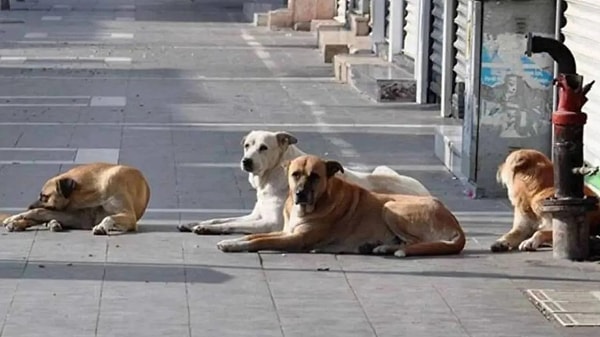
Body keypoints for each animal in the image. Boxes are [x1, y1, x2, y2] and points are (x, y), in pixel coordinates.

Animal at [1, 163, 151, 234]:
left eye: (44, 196)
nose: (28, 206)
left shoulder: (129, 216)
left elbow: (109, 217)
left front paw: (102, 226)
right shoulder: (79, 216)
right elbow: (37, 212)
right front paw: (15, 217)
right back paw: (18, 223)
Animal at [178, 130, 432, 235]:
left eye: (264, 147)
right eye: (247, 145)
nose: (246, 161)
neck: (271, 176)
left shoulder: (271, 223)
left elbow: (229, 224)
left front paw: (207, 229)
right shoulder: (255, 215)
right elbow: (221, 218)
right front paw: (195, 223)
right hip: (382, 168)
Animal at [218, 155, 466, 258]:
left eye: (315, 176)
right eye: (295, 174)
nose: (300, 194)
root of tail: (456, 225)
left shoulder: (296, 239)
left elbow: (259, 241)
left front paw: (234, 245)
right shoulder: (286, 231)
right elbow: (253, 237)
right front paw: (233, 241)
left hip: (390, 207)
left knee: (417, 243)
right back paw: (379, 247)